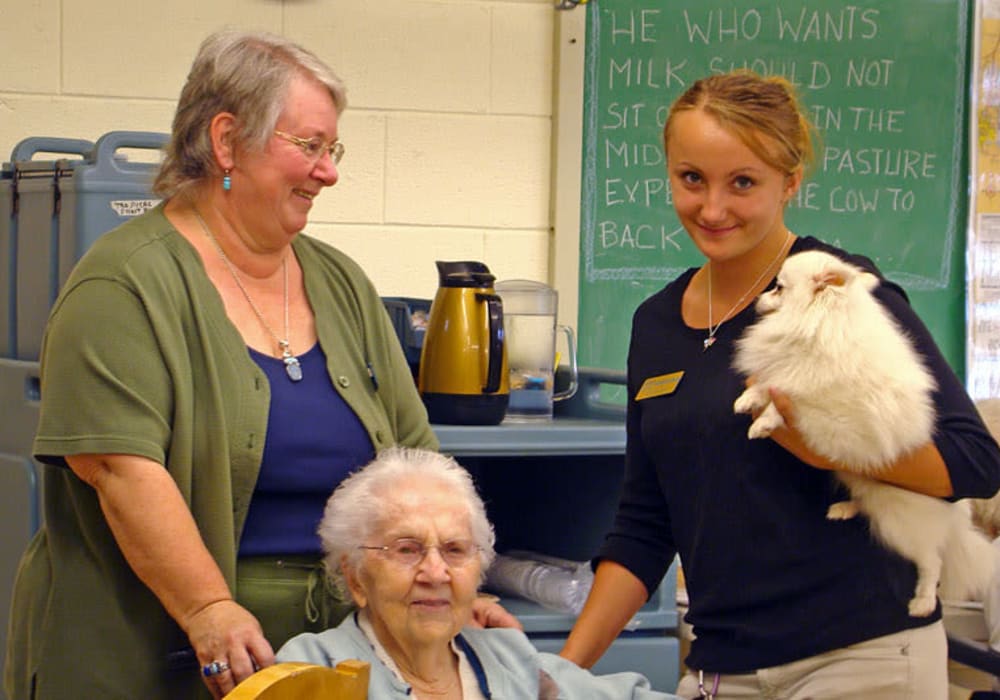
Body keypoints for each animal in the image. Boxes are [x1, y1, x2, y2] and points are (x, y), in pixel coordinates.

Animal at [732, 249, 996, 616]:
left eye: (779, 288)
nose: (758, 298)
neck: (818, 323)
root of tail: (956, 514)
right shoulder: (787, 370)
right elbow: (770, 382)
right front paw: (748, 399)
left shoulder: (822, 397)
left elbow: (788, 397)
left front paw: (764, 422)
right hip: (863, 483)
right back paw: (845, 508)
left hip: (899, 520)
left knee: (932, 561)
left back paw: (923, 601)